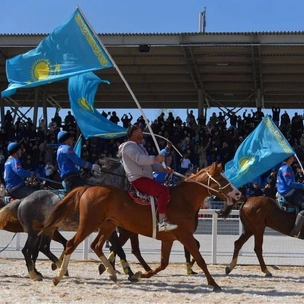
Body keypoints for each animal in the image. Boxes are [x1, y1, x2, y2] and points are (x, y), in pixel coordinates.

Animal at [39, 163, 241, 290]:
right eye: (222, 179)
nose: (239, 193)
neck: (182, 200)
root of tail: (88, 188)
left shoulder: (169, 239)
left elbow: (163, 264)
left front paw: (139, 275)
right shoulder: (185, 236)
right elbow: (200, 259)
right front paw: (214, 284)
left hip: (107, 226)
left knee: (96, 246)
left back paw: (111, 273)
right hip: (89, 224)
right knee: (71, 244)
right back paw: (58, 276)